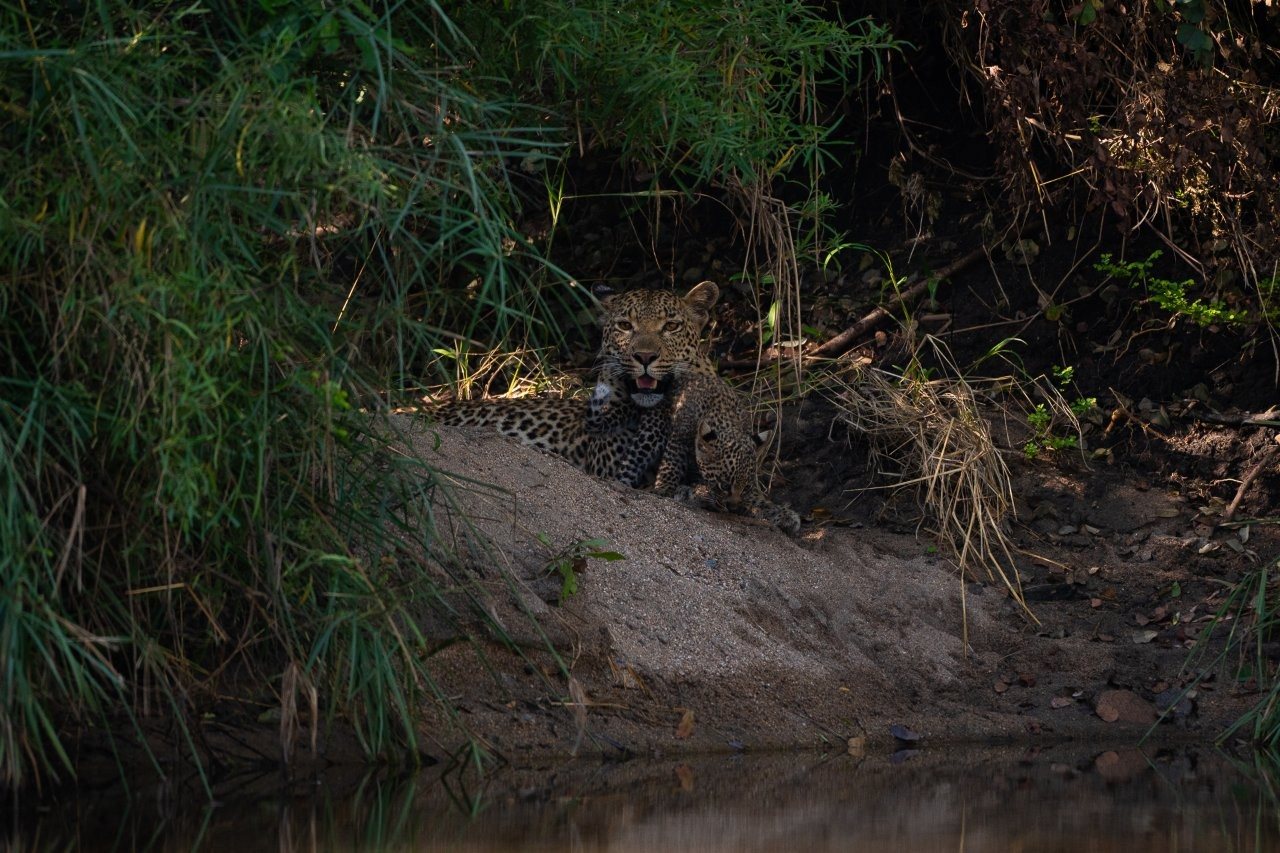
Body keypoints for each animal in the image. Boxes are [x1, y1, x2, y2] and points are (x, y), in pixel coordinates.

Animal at [651, 371, 802, 536]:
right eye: (724, 485)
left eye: (746, 487)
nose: (733, 508)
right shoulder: (679, 439)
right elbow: (670, 465)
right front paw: (665, 489)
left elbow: (757, 497)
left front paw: (780, 513)